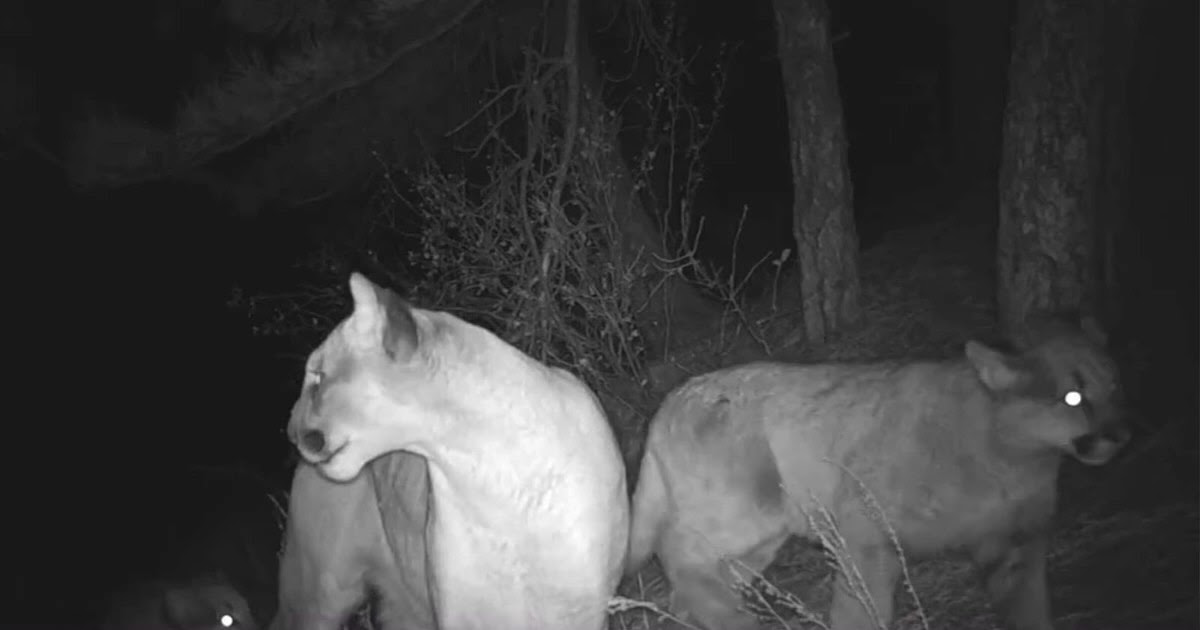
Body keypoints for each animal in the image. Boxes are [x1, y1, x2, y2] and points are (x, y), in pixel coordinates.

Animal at [625, 316, 1130, 630]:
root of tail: (672, 399)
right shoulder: (864, 532)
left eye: (1114, 384)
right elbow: (859, 610)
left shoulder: (1015, 544)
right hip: (741, 517)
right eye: (1072, 397)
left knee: (690, 583)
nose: (1118, 435)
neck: (1008, 455)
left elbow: (1030, 612)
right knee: (677, 555)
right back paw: (738, 620)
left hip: (757, 540)